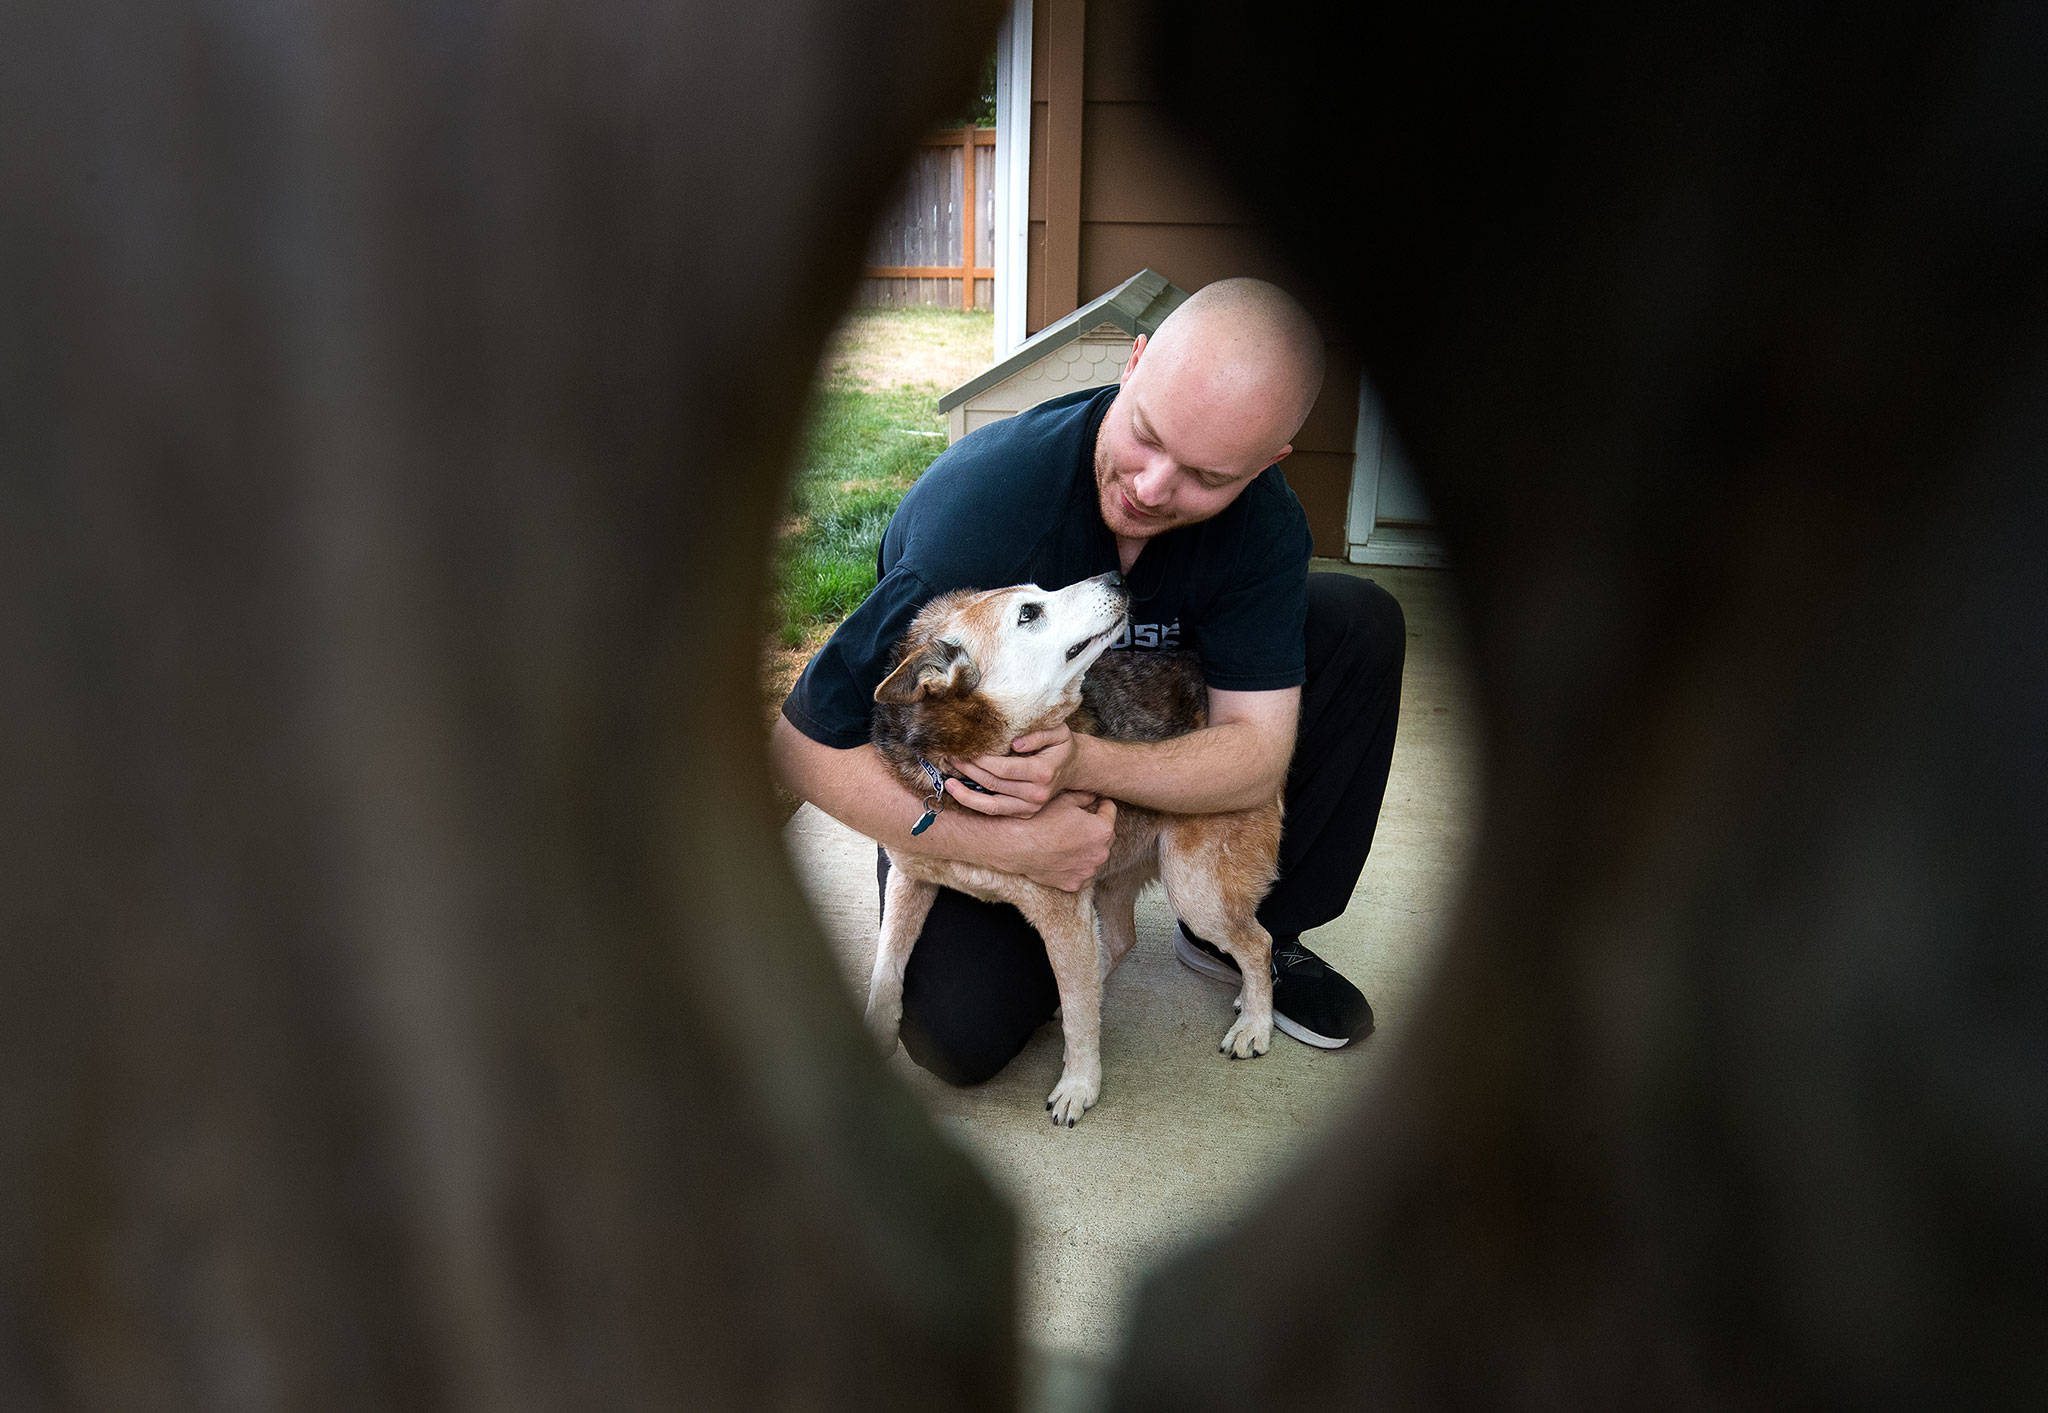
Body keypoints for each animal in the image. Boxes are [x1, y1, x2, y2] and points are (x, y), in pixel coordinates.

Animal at [864, 569, 1277, 1122]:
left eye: (1037, 594)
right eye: (1029, 613)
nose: (1116, 577)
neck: (965, 772)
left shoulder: (1063, 910)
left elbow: (1079, 1020)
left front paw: (1079, 1084)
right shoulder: (909, 879)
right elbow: (885, 970)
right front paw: (873, 1033)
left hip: (1195, 890)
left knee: (1258, 943)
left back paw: (1255, 1022)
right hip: (1116, 876)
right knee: (1119, 941)